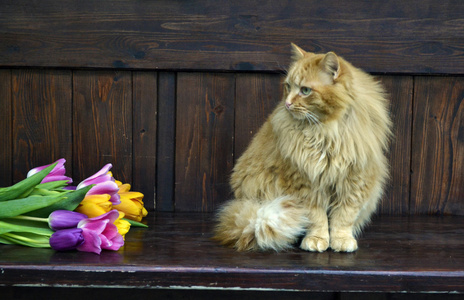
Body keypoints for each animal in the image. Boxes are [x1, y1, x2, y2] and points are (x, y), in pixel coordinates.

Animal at [214, 43, 392, 252]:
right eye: (288, 86)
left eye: (305, 90)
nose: (288, 103)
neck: (328, 131)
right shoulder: (304, 182)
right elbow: (316, 217)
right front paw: (317, 239)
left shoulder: (355, 179)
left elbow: (344, 217)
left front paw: (341, 240)